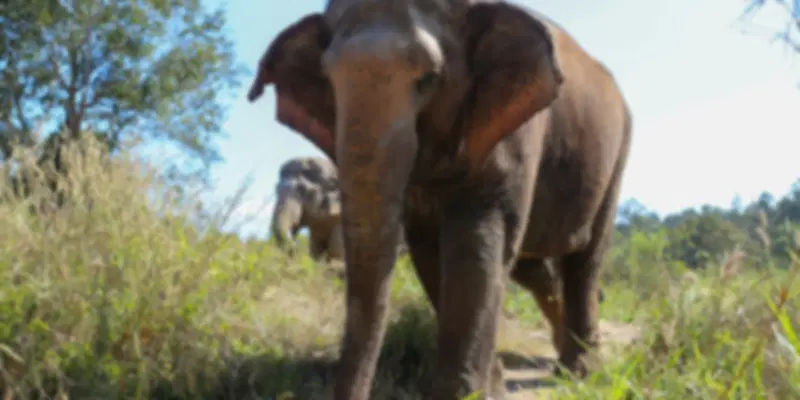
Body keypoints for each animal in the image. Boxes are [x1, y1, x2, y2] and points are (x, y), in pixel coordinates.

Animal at [247, 0, 632, 399]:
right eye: (328, 79)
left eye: (429, 79)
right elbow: (429, 250)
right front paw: (491, 387)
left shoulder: (516, 131)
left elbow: (475, 243)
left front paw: (470, 393)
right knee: (533, 268)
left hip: (617, 153)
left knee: (585, 260)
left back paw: (580, 372)